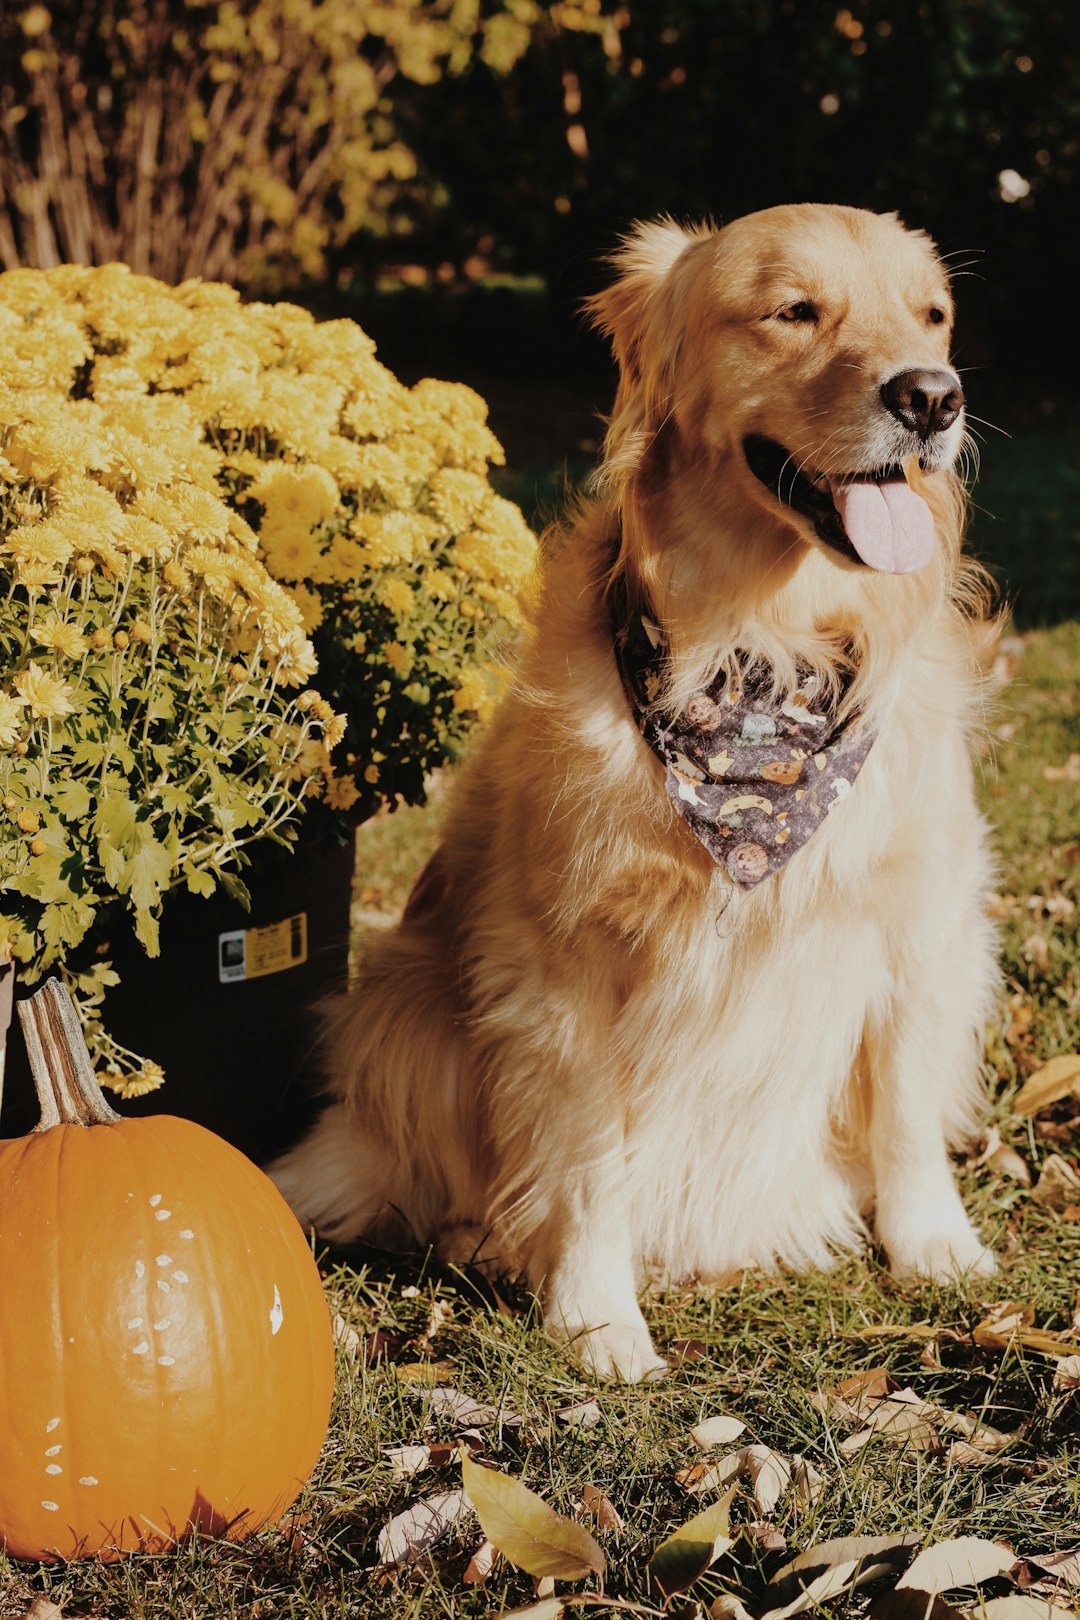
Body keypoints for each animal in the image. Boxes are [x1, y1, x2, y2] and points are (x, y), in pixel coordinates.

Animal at [275, 196, 1003, 1373]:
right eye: (794, 312)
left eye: (931, 315)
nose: (932, 397)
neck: (762, 655)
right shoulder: (563, 960)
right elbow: (585, 1159)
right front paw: (597, 1314)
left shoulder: (920, 918)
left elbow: (902, 1106)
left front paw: (935, 1245)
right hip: (406, 1014)